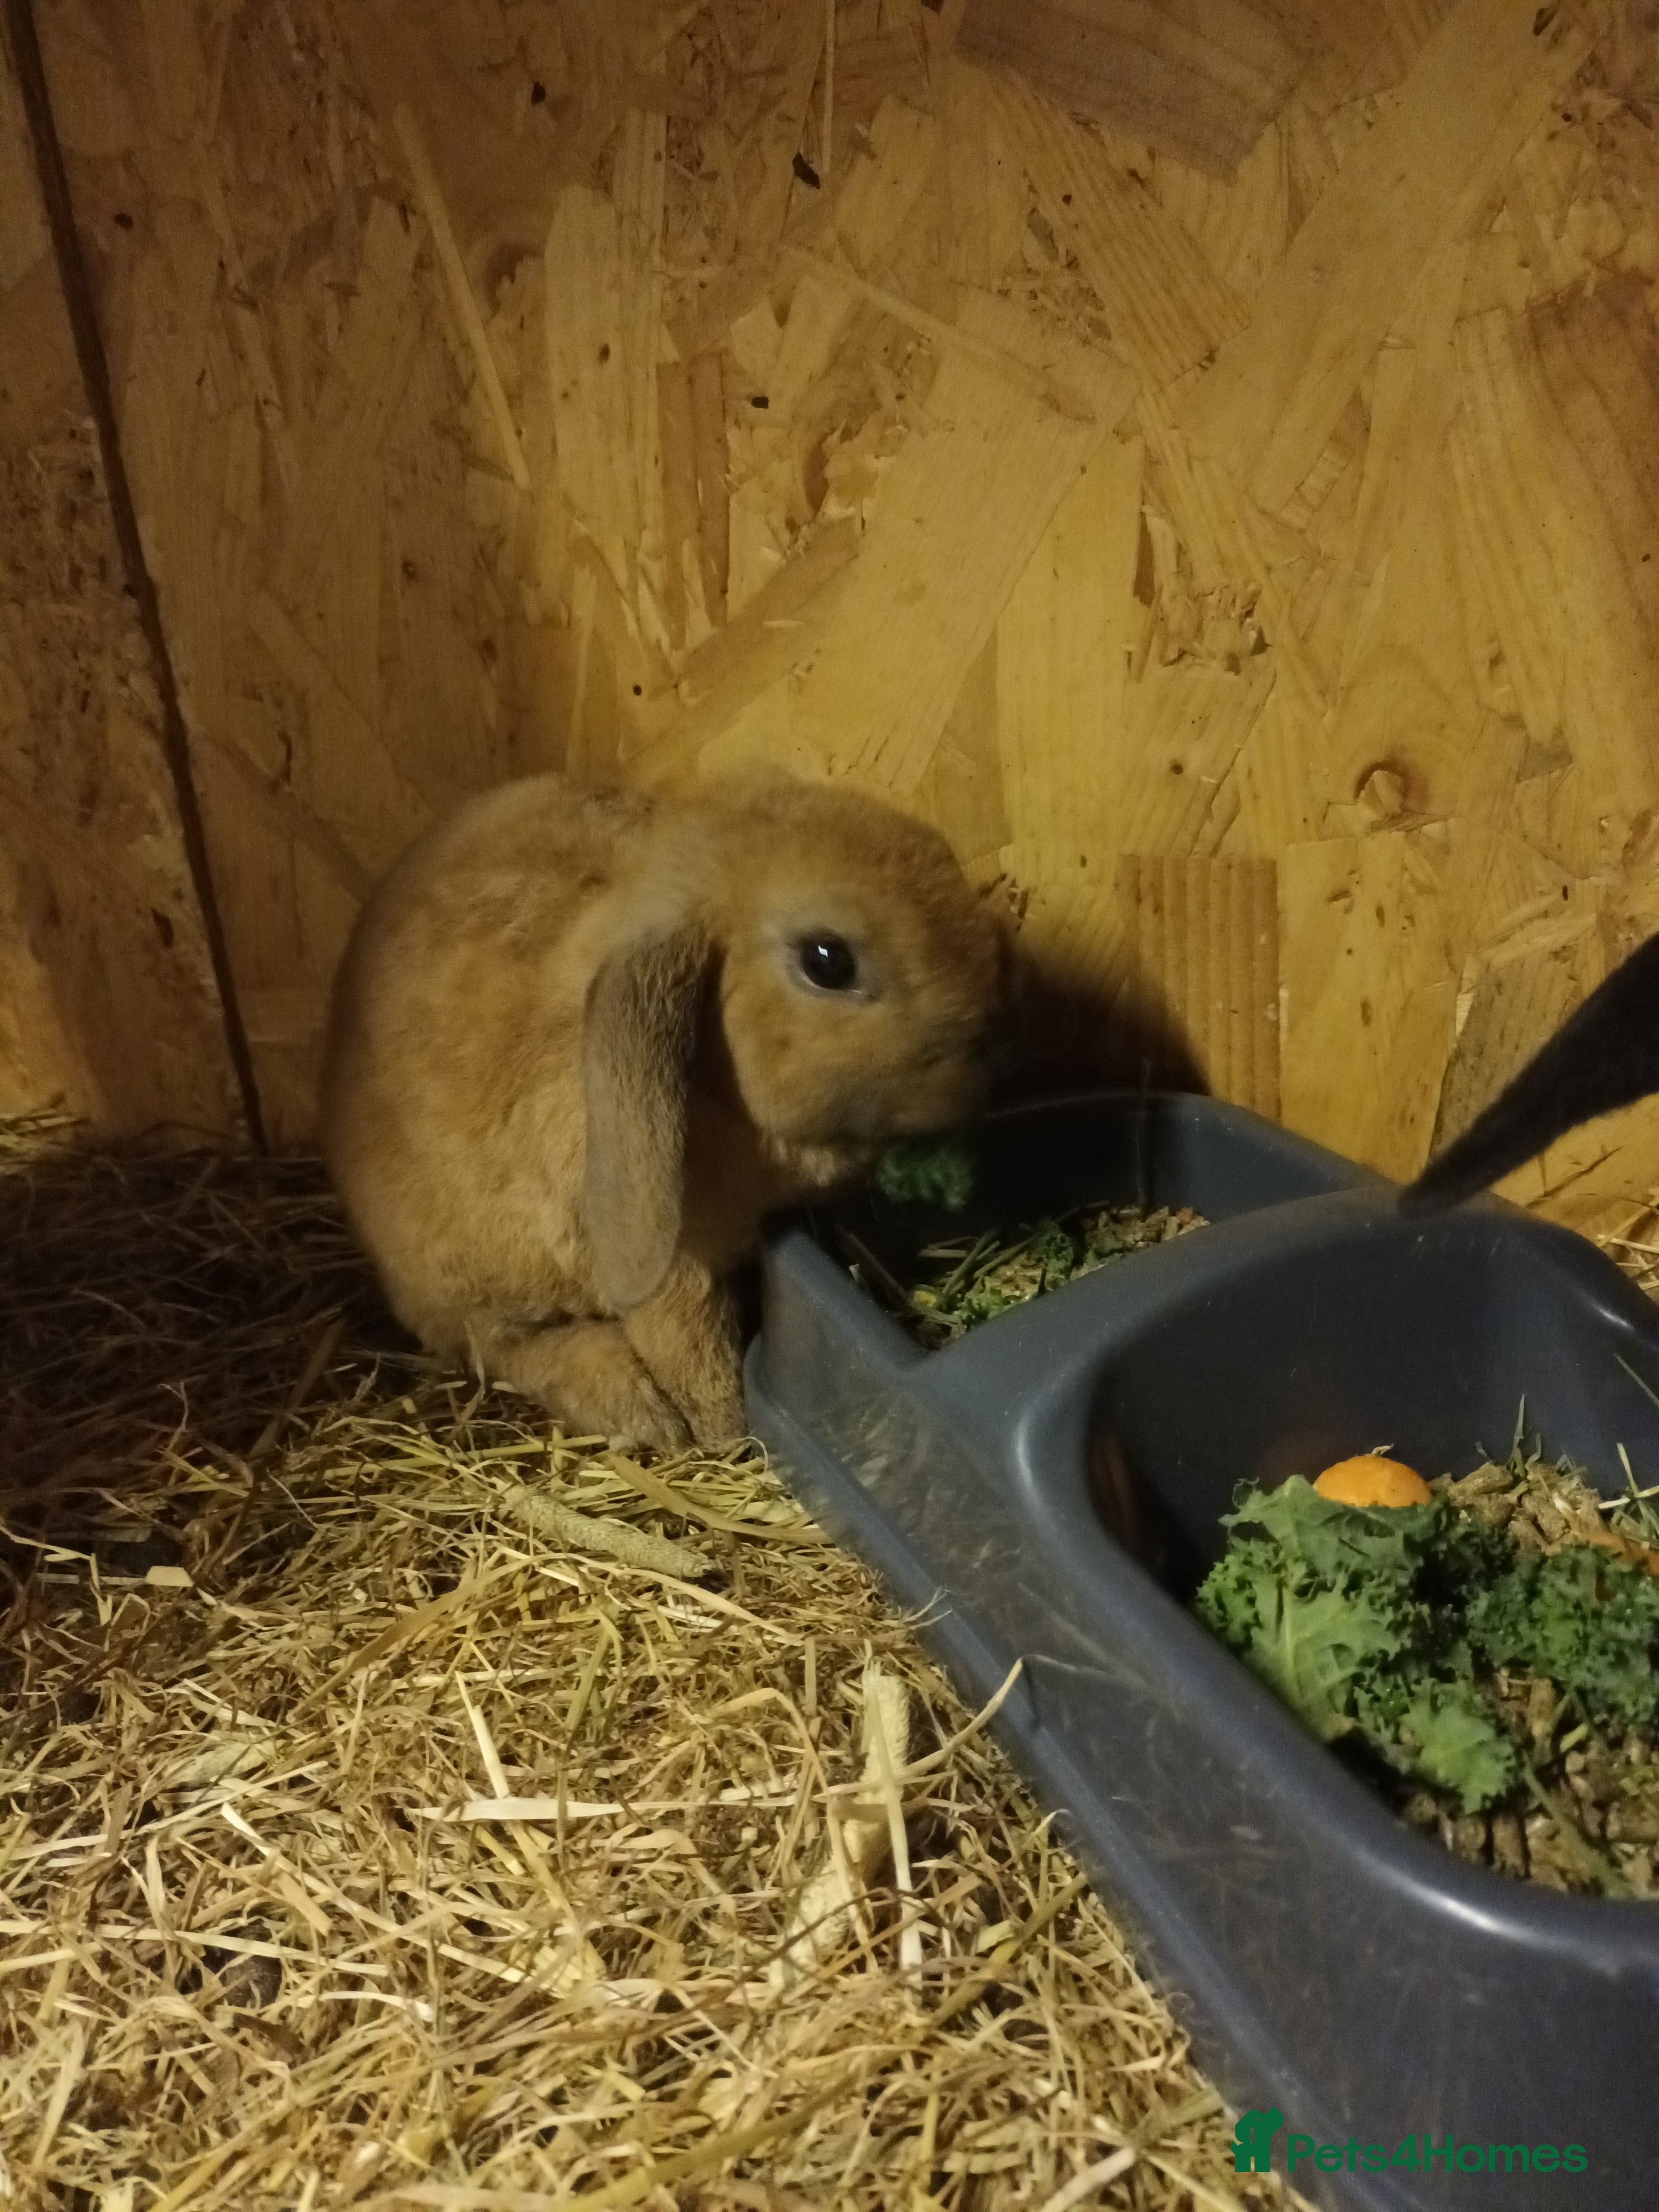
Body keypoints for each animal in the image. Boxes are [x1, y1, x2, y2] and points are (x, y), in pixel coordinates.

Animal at [320, 768, 1007, 1449]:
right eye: (827, 960)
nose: (990, 1042)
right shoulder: (669, 1264)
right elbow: (688, 1340)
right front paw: (728, 1430)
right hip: (467, 1287)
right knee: (504, 1347)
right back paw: (632, 1403)